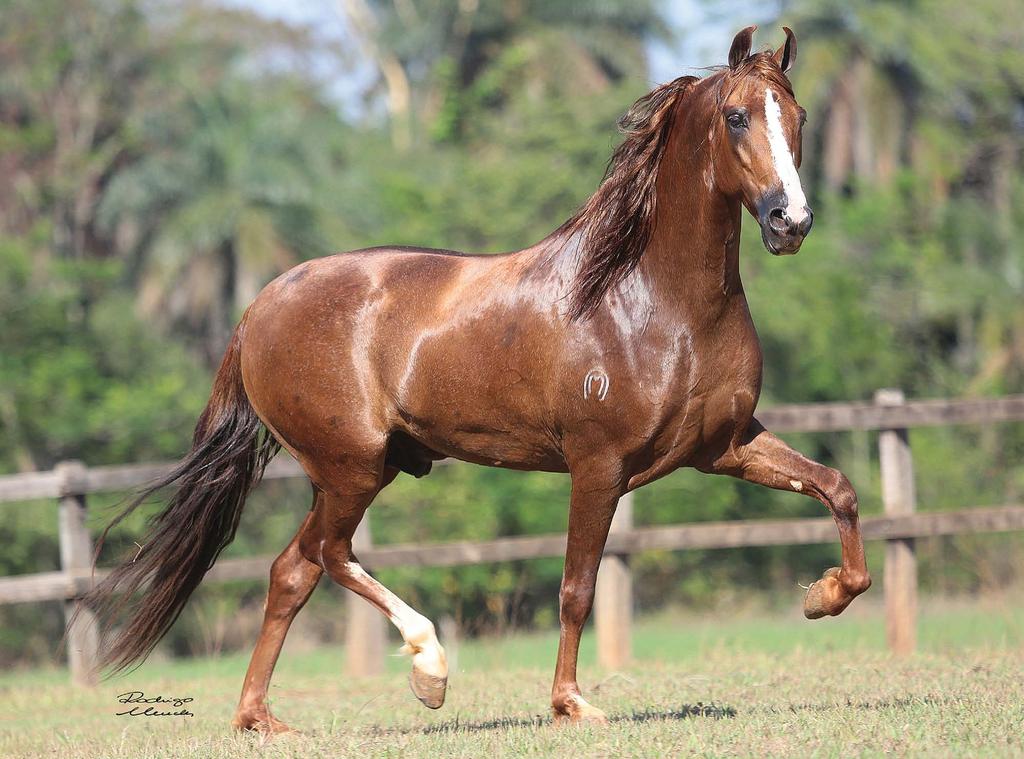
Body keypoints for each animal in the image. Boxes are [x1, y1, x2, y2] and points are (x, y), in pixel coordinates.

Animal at [83, 28, 872, 729]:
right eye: (737, 116)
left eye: (799, 116)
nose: (791, 220)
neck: (654, 302)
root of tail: (260, 305)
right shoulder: (599, 465)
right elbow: (576, 588)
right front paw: (571, 704)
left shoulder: (724, 446)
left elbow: (838, 488)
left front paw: (824, 596)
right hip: (351, 466)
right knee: (330, 556)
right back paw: (428, 668)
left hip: (359, 469)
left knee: (292, 569)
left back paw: (260, 718)